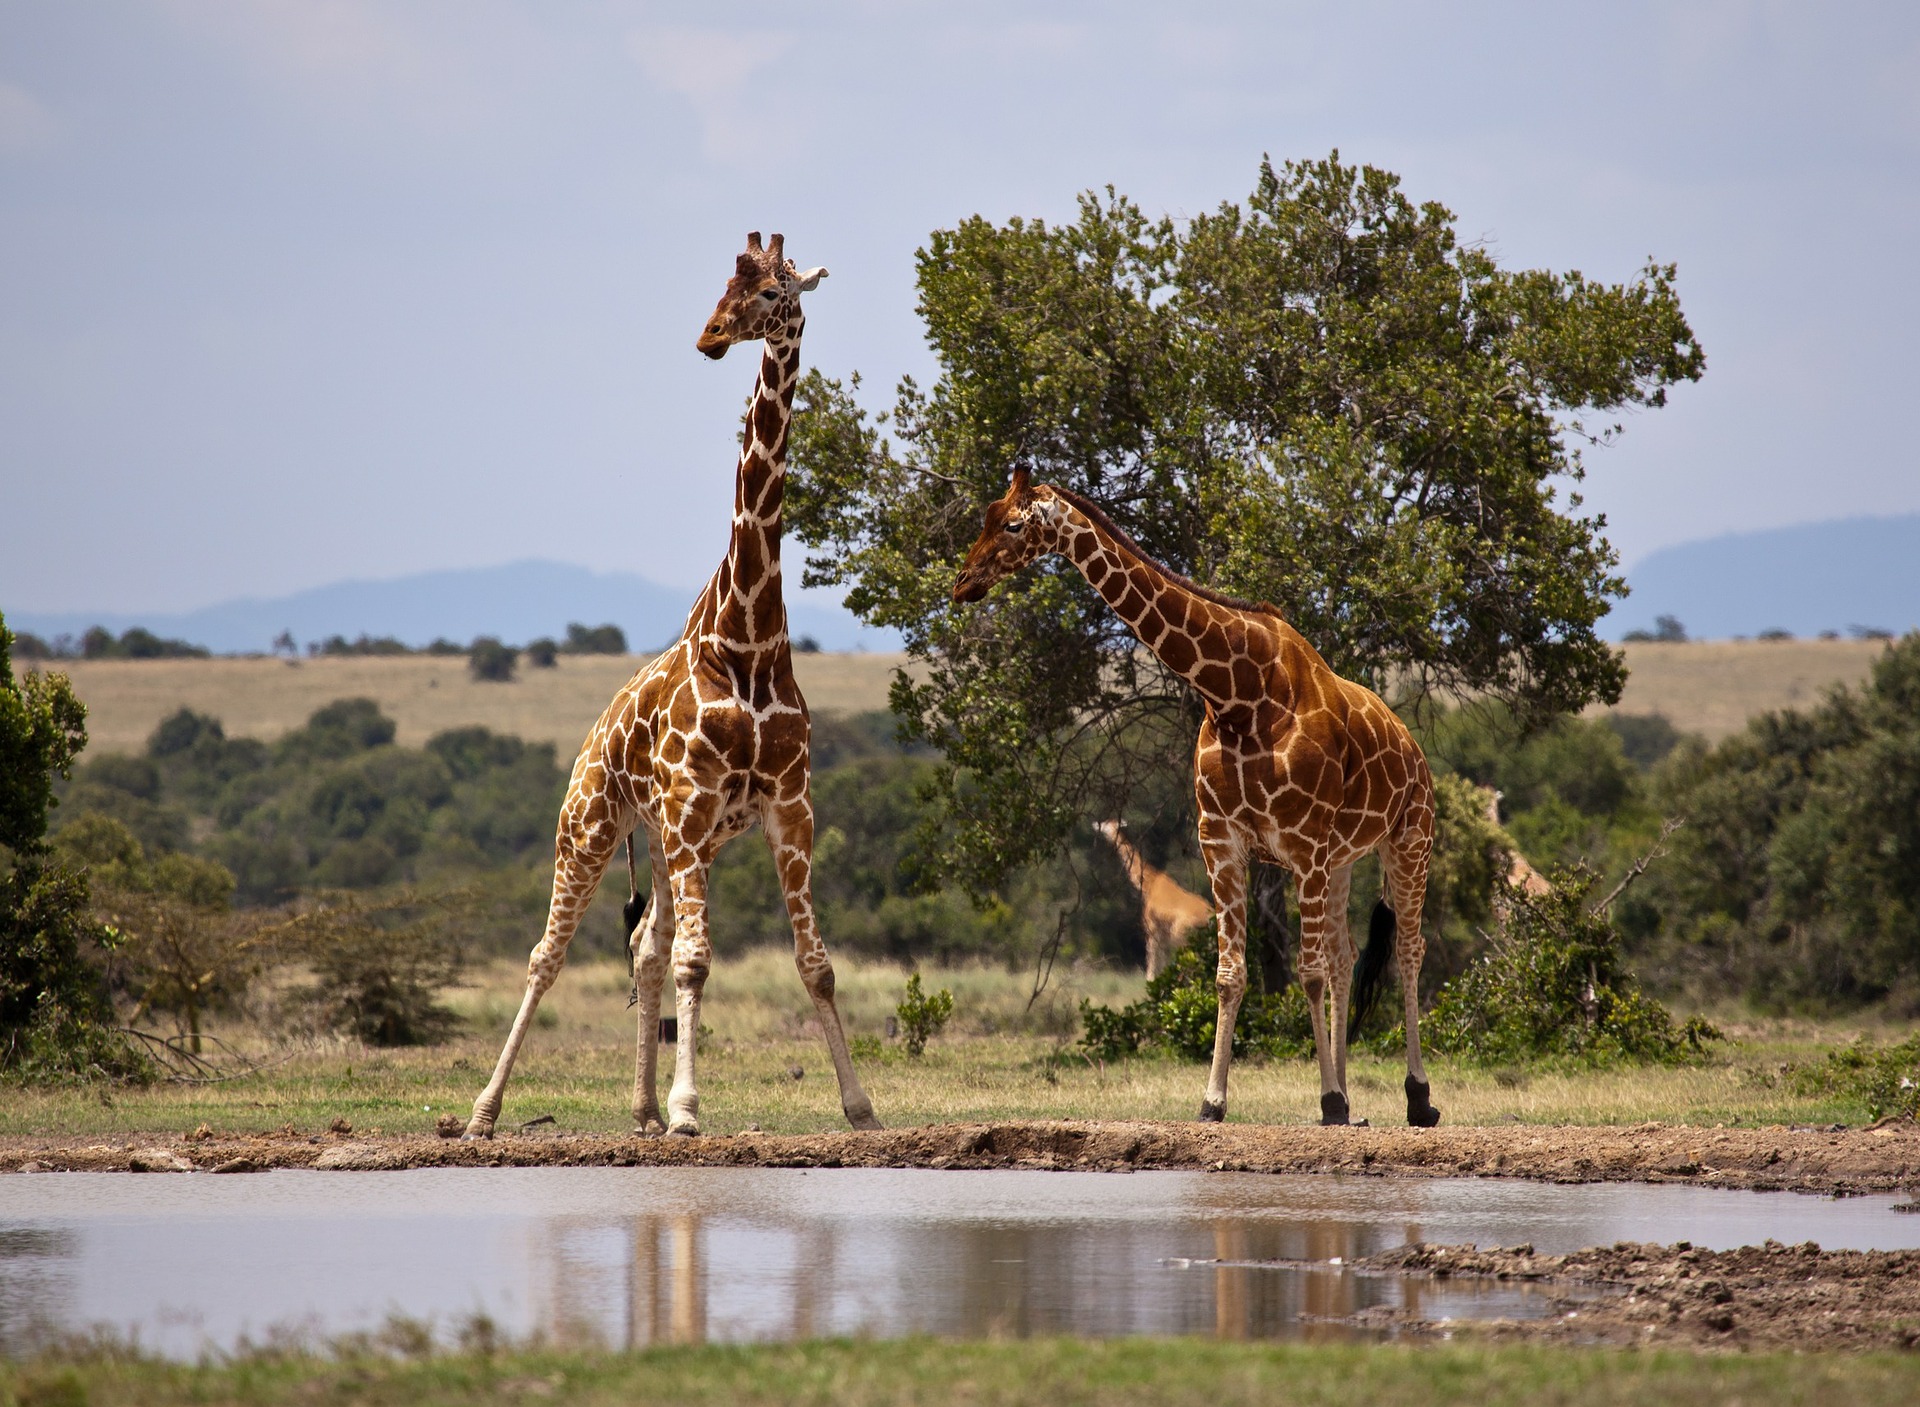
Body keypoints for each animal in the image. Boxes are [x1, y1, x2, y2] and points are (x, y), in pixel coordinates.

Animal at [464, 232, 881, 1140]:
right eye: (725, 284)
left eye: (773, 290)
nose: (710, 336)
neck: (748, 637)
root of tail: (591, 739)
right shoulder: (693, 805)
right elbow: (697, 961)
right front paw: (693, 1109)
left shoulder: (787, 808)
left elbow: (815, 963)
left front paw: (860, 1104)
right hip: (592, 826)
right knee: (549, 954)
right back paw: (482, 1110)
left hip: (668, 842)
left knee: (645, 943)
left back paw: (643, 1107)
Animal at [1093, 820, 1213, 979]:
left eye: (1105, 824)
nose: (1096, 826)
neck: (1149, 884)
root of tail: (1209, 918)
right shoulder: (1163, 934)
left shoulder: (1152, 928)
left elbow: (1152, 965)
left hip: (1182, 937)